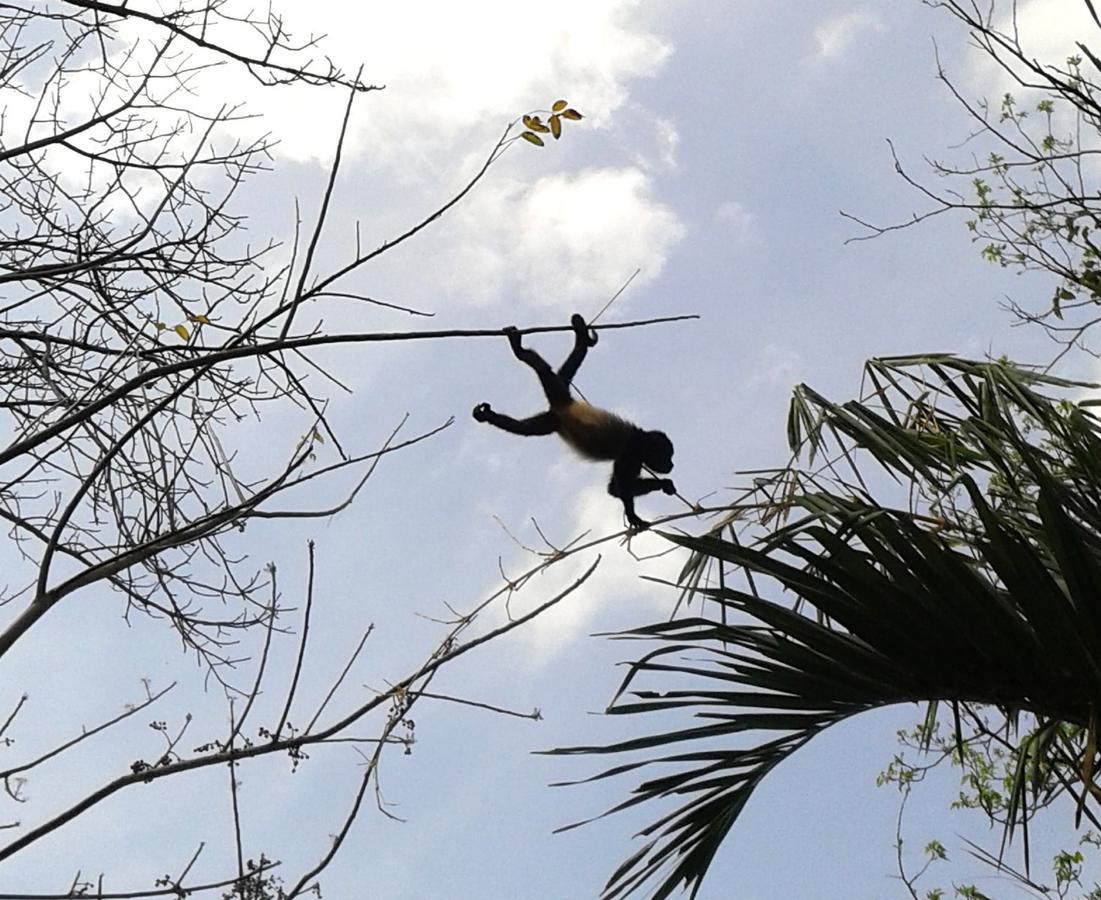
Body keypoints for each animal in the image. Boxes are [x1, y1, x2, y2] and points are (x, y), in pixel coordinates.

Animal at [471, 315, 673, 530]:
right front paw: (633, 515)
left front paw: (664, 485)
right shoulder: (630, 453)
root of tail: (563, 407)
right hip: (556, 391)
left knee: (523, 428)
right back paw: (521, 351)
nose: (671, 464)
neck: (641, 438)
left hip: (551, 419)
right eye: (667, 455)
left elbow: (613, 489)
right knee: (544, 370)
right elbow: (621, 488)